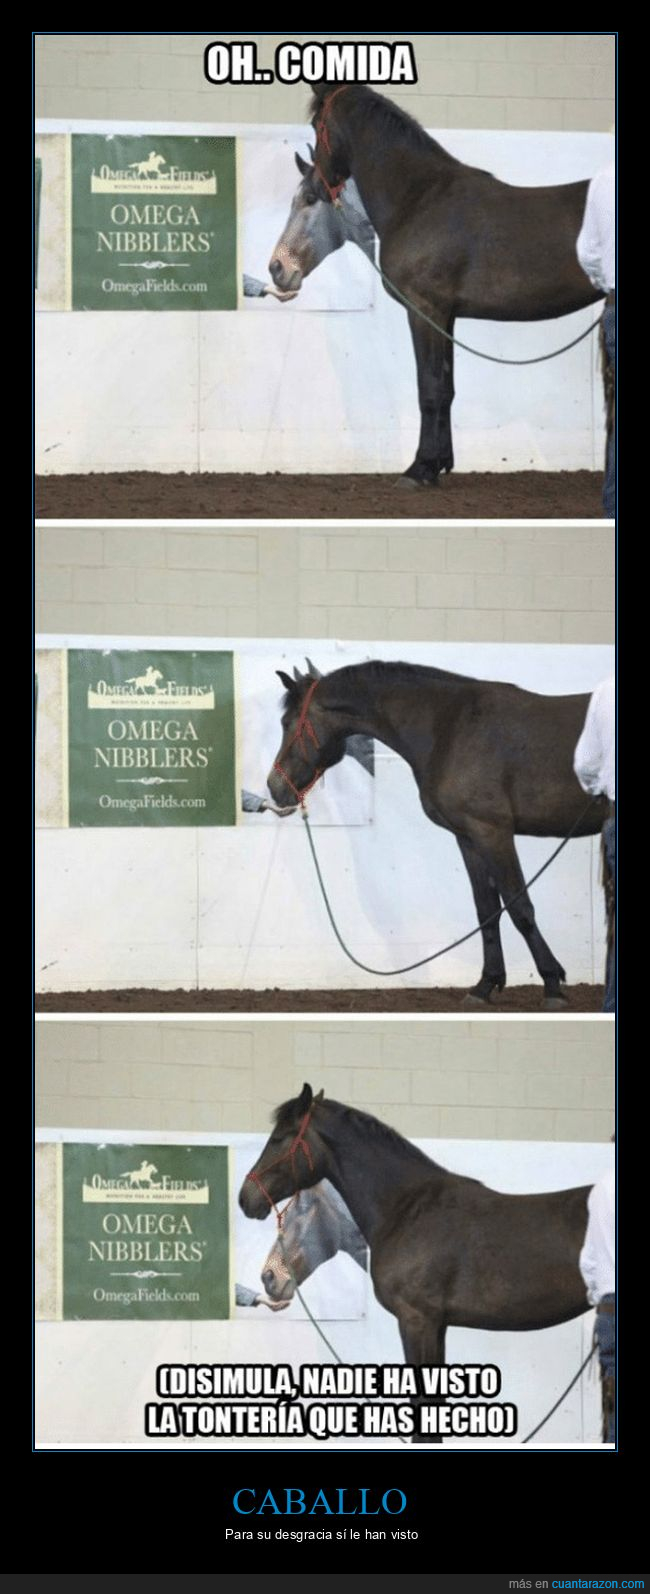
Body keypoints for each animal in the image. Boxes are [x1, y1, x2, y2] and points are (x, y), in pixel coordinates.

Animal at [267, 660, 606, 1008]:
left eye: (287, 723)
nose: (275, 787)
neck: (450, 727)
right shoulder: (469, 838)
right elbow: (487, 910)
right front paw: (485, 985)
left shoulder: (493, 833)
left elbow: (520, 907)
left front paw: (552, 985)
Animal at [269, 84, 603, 485]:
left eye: (316, 123)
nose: (319, 184)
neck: (419, 197)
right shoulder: (447, 317)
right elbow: (446, 388)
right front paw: (441, 461)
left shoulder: (424, 310)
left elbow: (428, 388)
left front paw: (420, 468)